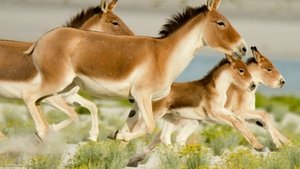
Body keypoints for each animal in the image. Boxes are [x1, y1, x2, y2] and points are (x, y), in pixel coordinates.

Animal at [0, 0, 134, 141]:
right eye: (115, 22)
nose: (133, 38)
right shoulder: (50, 98)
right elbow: (73, 115)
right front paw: (46, 132)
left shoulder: (69, 96)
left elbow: (92, 106)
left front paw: (92, 136)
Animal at [22, 0, 248, 141]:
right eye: (221, 23)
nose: (244, 48)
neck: (163, 55)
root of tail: (42, 39)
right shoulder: (142, 95)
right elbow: (149, 126)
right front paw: (120, 136)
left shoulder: (143, 101)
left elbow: (135, 125)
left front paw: (117, 135)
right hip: (56, 82)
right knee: (30, 95)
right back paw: (43, 131)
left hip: (65, 87)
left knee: (44, 101)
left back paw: (46, 131)